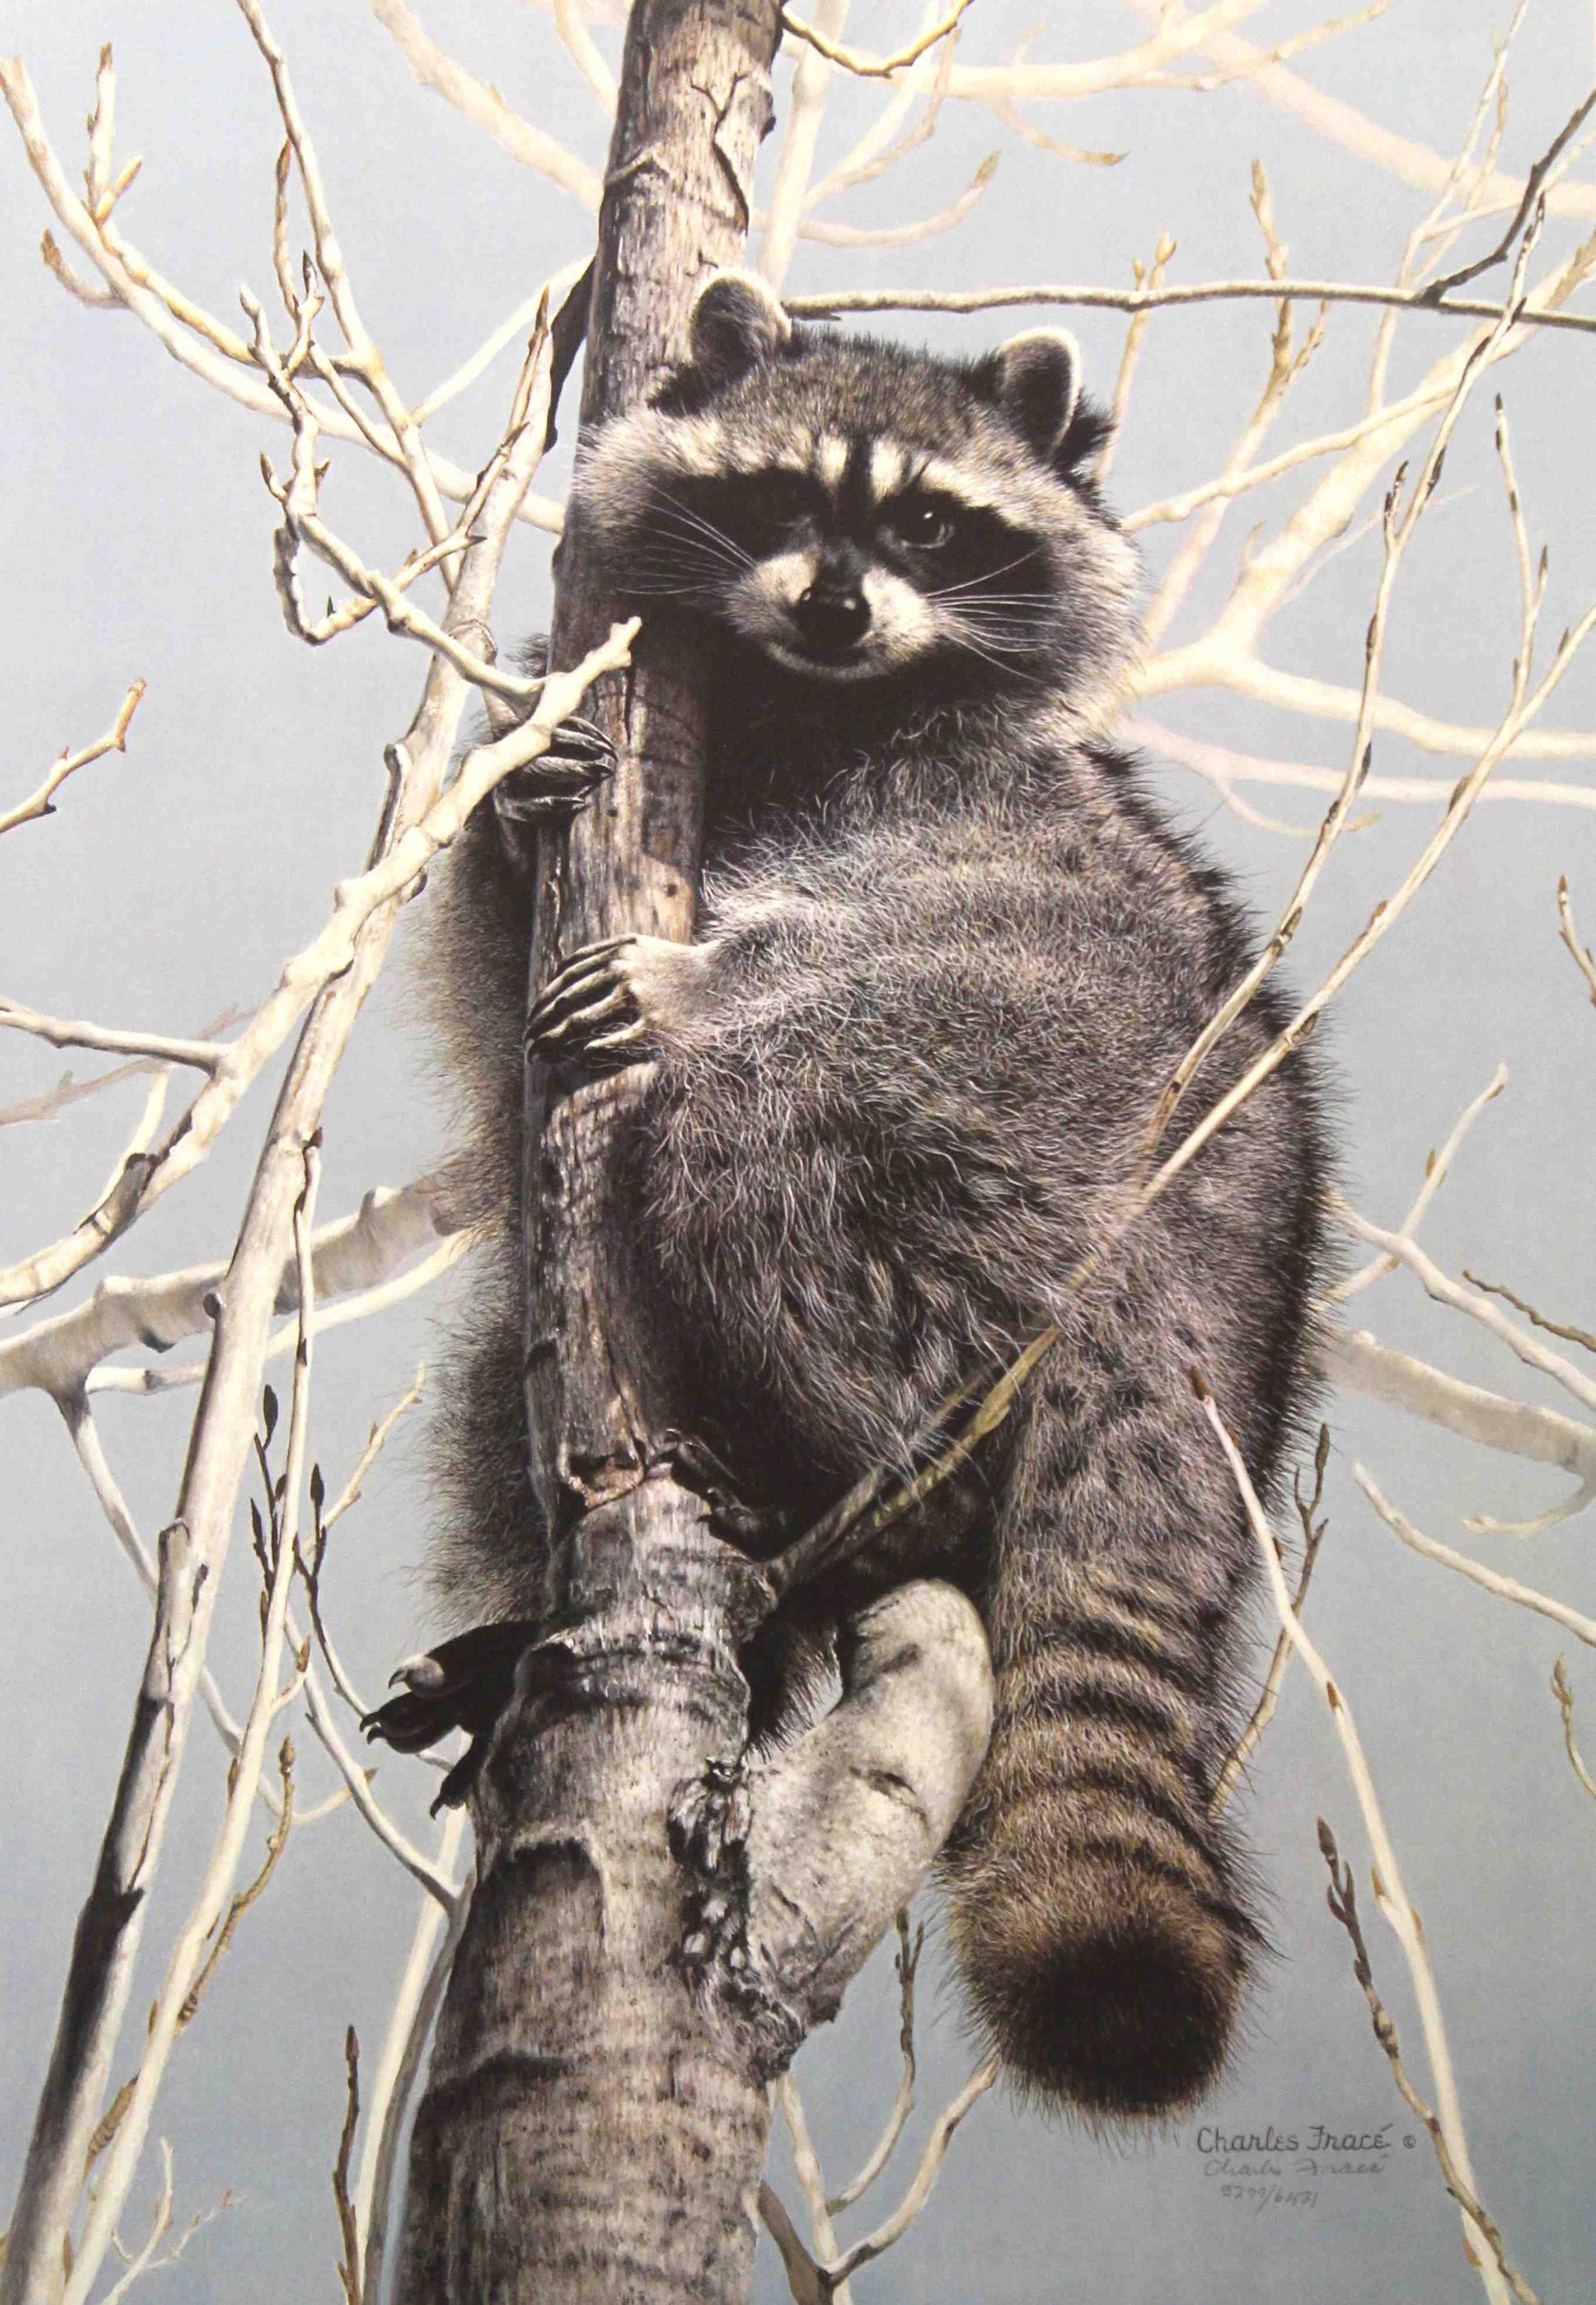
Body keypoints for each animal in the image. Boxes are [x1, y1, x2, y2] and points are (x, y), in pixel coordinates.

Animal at [418, 271, 1330, 2121]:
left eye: (923, 521)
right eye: (786, 501)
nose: (835, 602)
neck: (813, 699)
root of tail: (1212, 1300)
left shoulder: (1031, 837)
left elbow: (1023, 941)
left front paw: (705, 979)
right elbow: (494, 944)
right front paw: (508, 801)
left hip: (1035, 1176)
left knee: (766, 1125)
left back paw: (873, 1483)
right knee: (503, 1383)